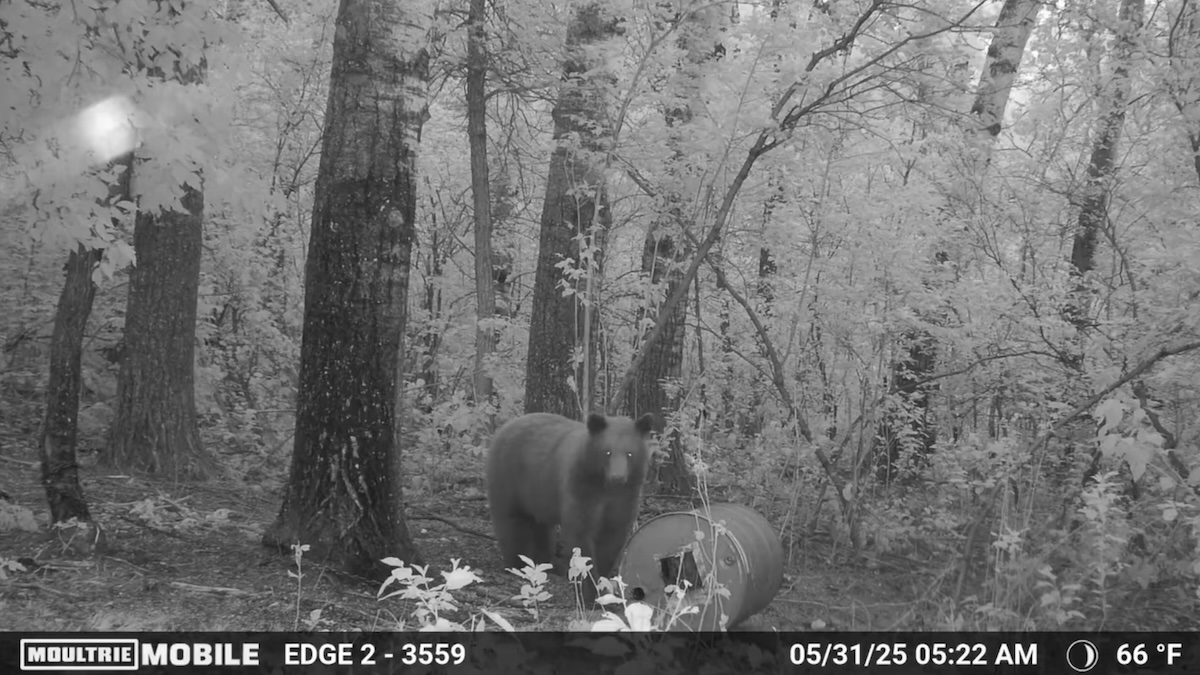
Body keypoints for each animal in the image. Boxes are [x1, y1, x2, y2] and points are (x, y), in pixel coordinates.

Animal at [486, 411, 655, 603]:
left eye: (629, 454)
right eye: (607, 452)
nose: (617, 477)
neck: (605, 488)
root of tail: (504, 428)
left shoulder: (624, 497)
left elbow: (613, 534)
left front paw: (602, 583)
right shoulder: (580, 488)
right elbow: (580, 532)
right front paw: (590, 590)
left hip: (539, 495)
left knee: (542, 529)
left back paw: (546, 563)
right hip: (508, 478)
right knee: (511, 524)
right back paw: (518, 565)